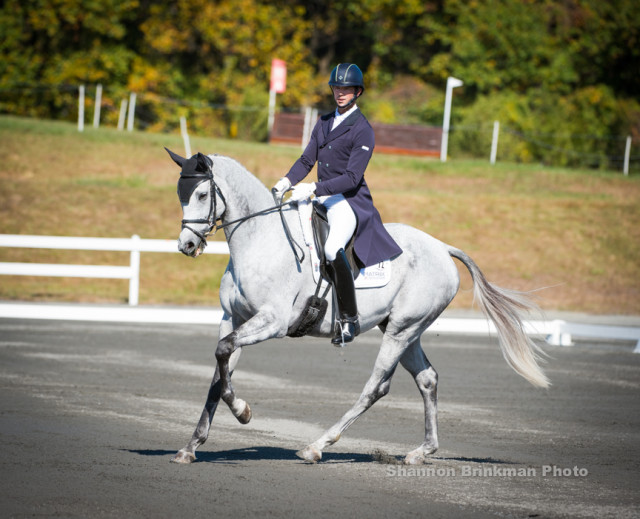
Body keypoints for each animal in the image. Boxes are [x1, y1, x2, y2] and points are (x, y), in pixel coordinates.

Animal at [166, 148, 552, 466]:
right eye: (180, 195)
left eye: (202, 194)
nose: (187, 245)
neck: (261, 240)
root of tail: (442, 247)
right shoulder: (233, 318)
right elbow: (219, 373)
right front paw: (191, 447)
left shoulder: (272, 322)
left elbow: (223, 355)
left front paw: (243, 412)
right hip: (405, 330)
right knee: (427, 379)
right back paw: (421, 452)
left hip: (401, 331)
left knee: (376, 387)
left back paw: (317, 446)